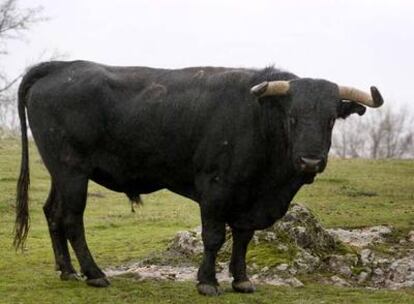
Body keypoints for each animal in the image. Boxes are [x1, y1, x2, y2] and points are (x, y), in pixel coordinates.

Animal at [13, 60, 384, 296]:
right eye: (292, 117)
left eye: (330, 119)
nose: (310, 160)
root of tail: (61, 66)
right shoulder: (216, 188)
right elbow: (214, 237)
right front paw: (208, 282)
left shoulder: (249, 197)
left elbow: (243, 237)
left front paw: (241, 280)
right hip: (72, 170)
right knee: (72, 218)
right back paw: (94, 274)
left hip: (61, 172)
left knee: (53, 213)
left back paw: (67, 270)